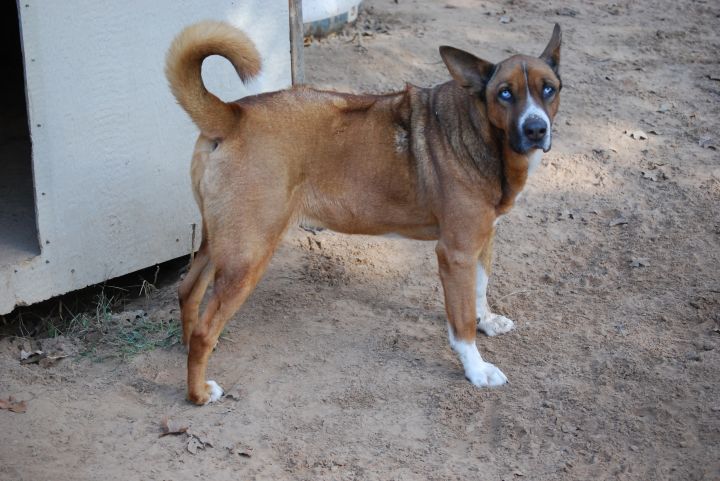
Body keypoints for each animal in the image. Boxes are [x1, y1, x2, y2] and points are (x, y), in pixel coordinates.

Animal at [166, 23, 560, 404]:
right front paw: (476, 370)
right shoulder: (456, 253)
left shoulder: (483, 240)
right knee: (204, 330)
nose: (536, 128)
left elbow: (480, 290)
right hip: (247, 256)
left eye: (549, 89)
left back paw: (188, 354)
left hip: (221, 244)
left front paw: (487, 322)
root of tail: (232, 114)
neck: (481, 132)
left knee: (188, 292)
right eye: (505, 93)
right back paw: (197, 393)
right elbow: (461, 324)